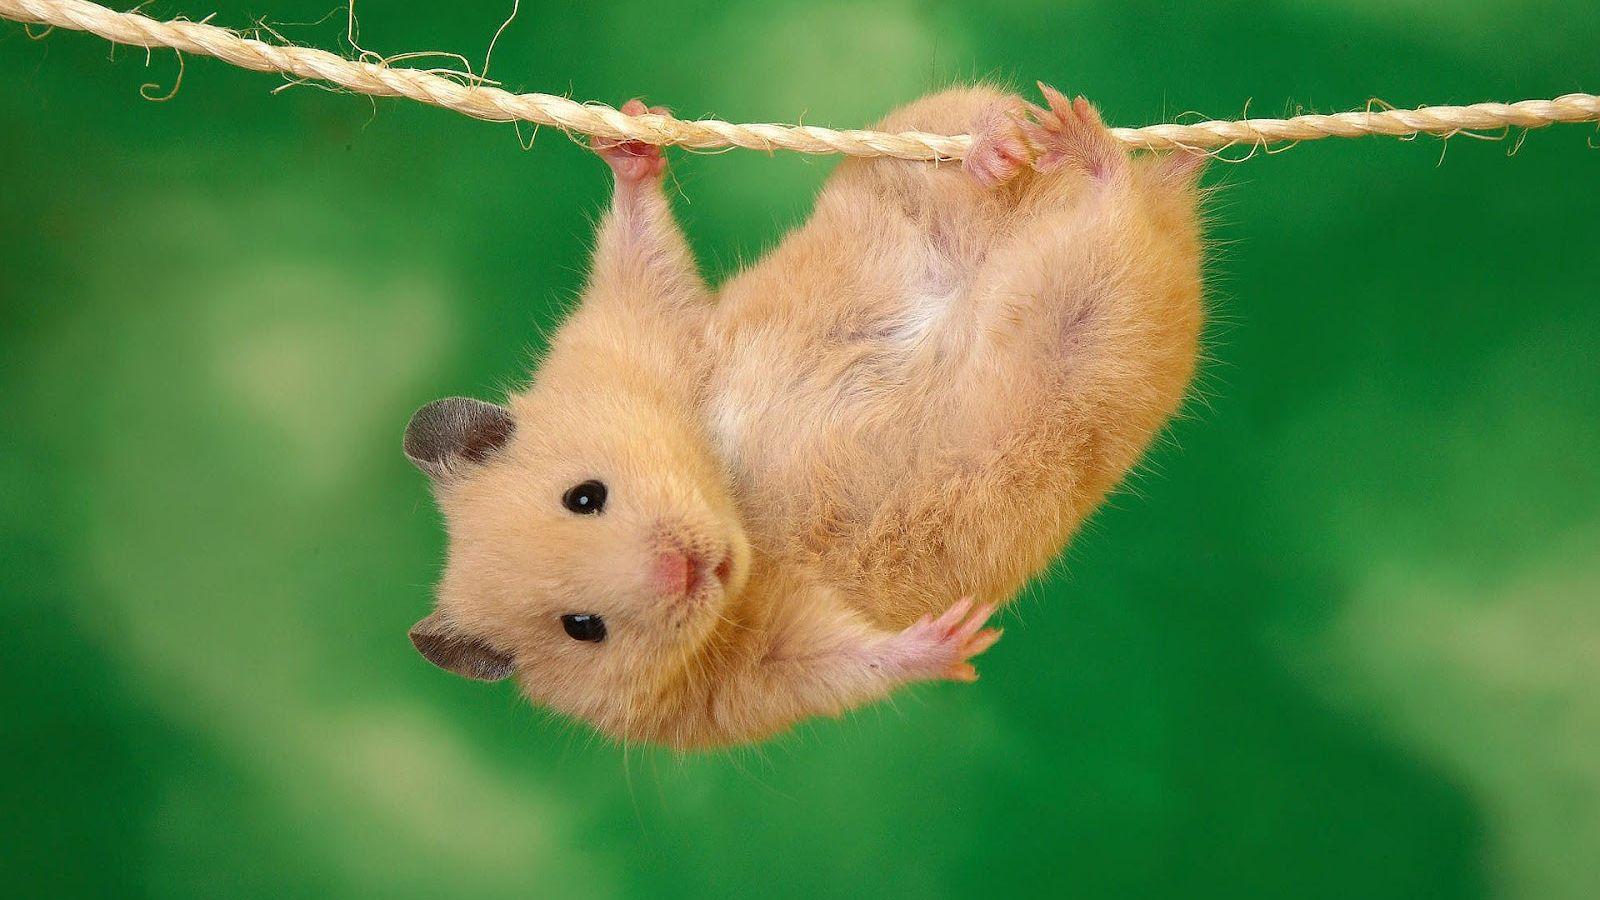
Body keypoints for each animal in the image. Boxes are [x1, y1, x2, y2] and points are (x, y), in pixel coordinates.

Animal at [404, 86, 1206, 749]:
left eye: (584, 496)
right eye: (582, 628)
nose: (687, 569)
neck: (734, 504)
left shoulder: (643, 332)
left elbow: (642, 251)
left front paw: (630, 133)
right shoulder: (751, 679)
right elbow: (848, 663)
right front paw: (958, 638)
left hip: (906, 170)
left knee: (973, 135)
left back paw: (1026, 142)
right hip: (1095, 325)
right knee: (1116, 219)